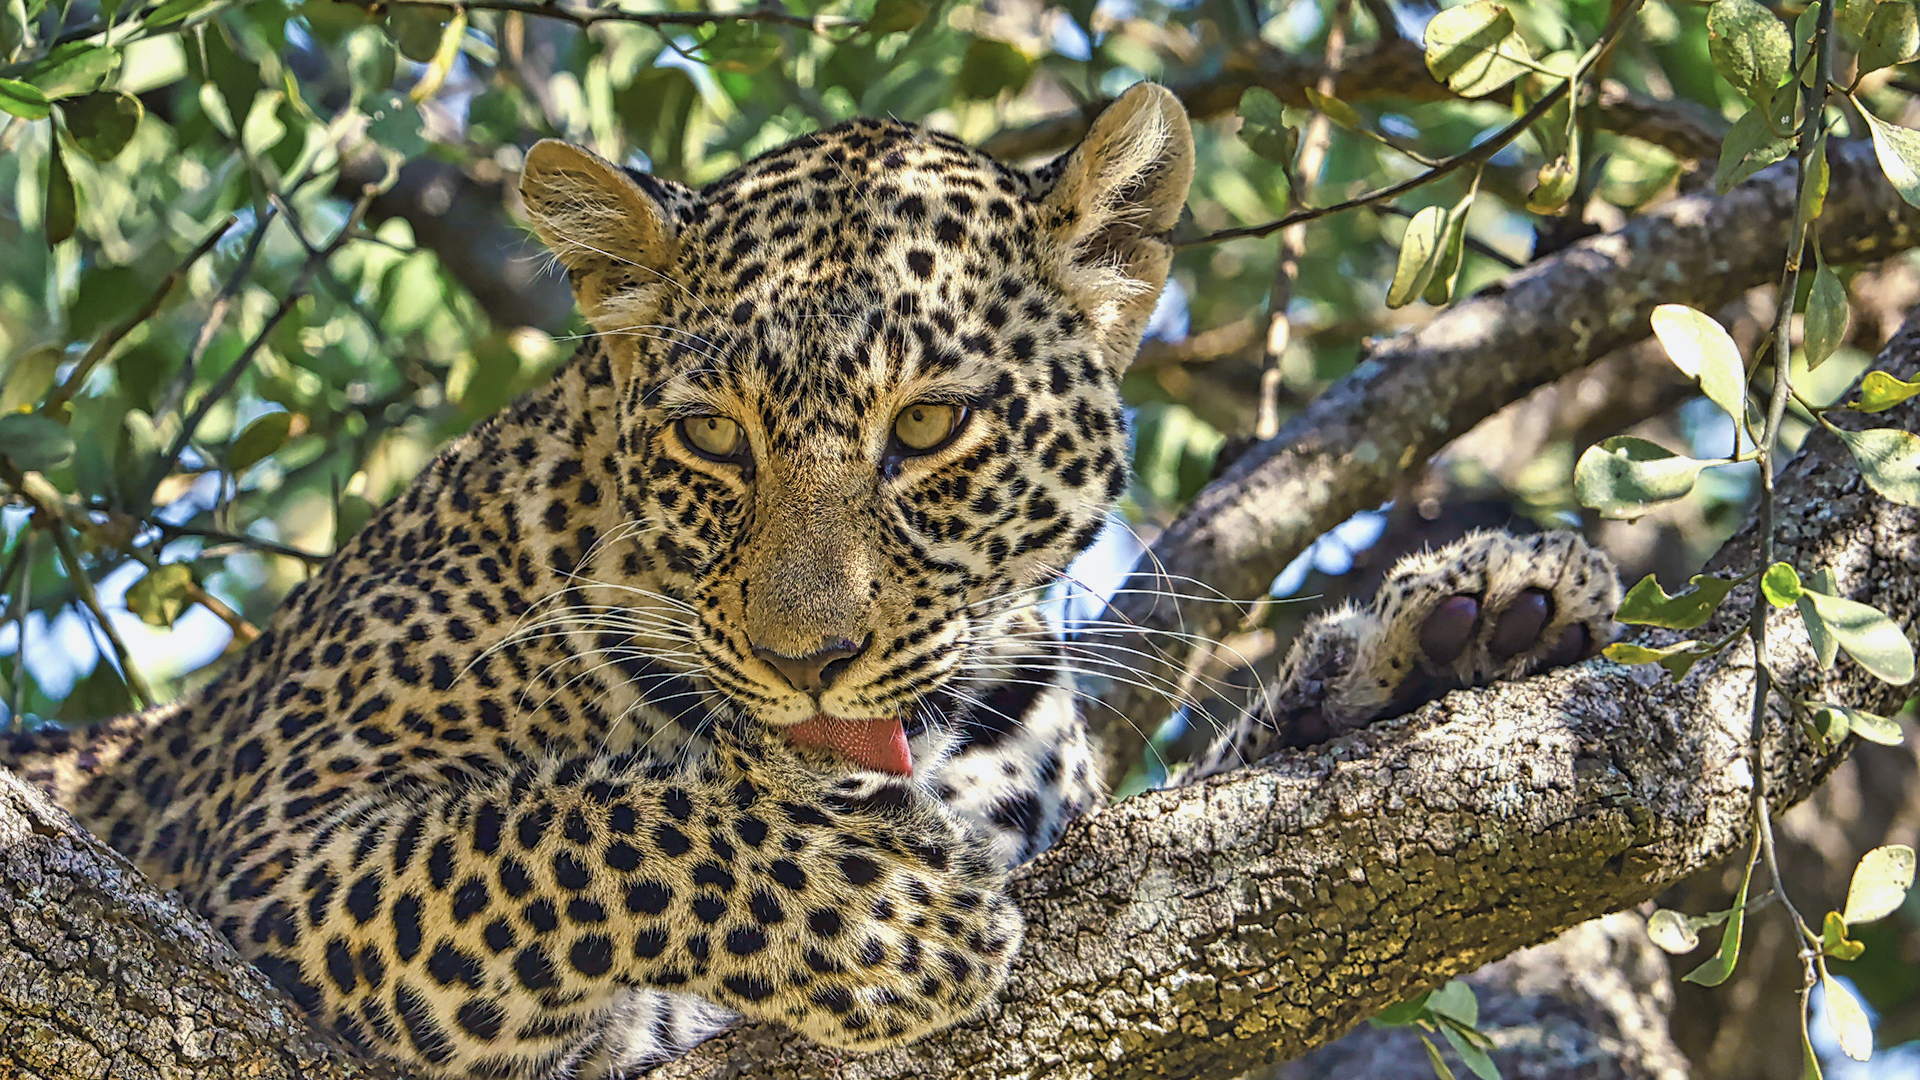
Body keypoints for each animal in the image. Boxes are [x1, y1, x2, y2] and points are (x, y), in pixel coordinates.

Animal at [1, 83, 1619, 1079]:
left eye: (931, 428)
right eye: (715, 436)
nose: (808, 658)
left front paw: (1455, 635)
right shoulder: (277, 851)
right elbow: (560, 832)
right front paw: (889, 917)